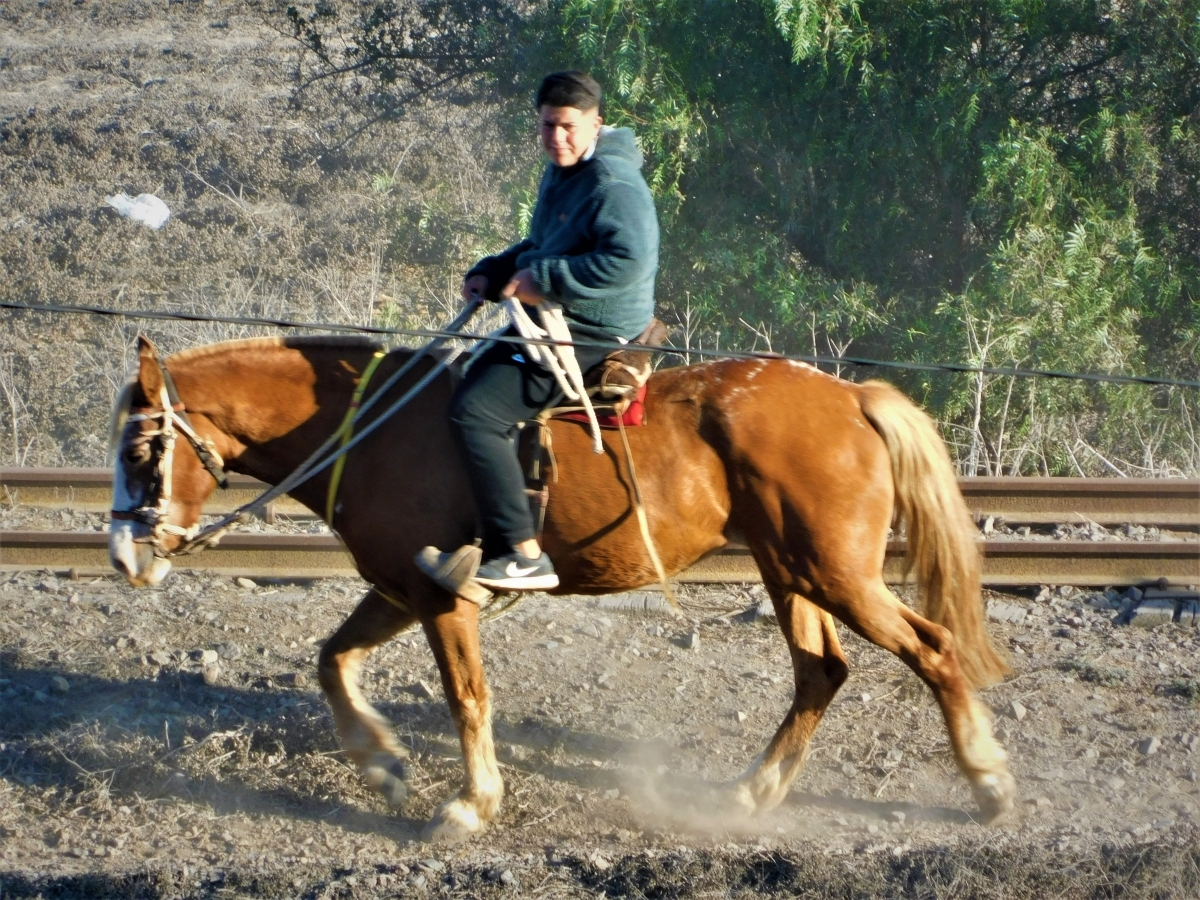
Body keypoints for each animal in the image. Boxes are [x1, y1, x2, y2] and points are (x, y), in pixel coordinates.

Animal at [110, 336, 1012, 844]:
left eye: (145, 449)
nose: (124, 555)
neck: (376, 429)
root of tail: (852, 396)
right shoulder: (401, 587)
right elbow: (333, 660)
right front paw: (382, 764)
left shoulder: (442, 599)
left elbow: (467, 697)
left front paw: (470, 805)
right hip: (790, 571)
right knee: (821, 671)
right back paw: (754, 793)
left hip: (835, 572)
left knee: (931, 648)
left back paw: (988, 781)